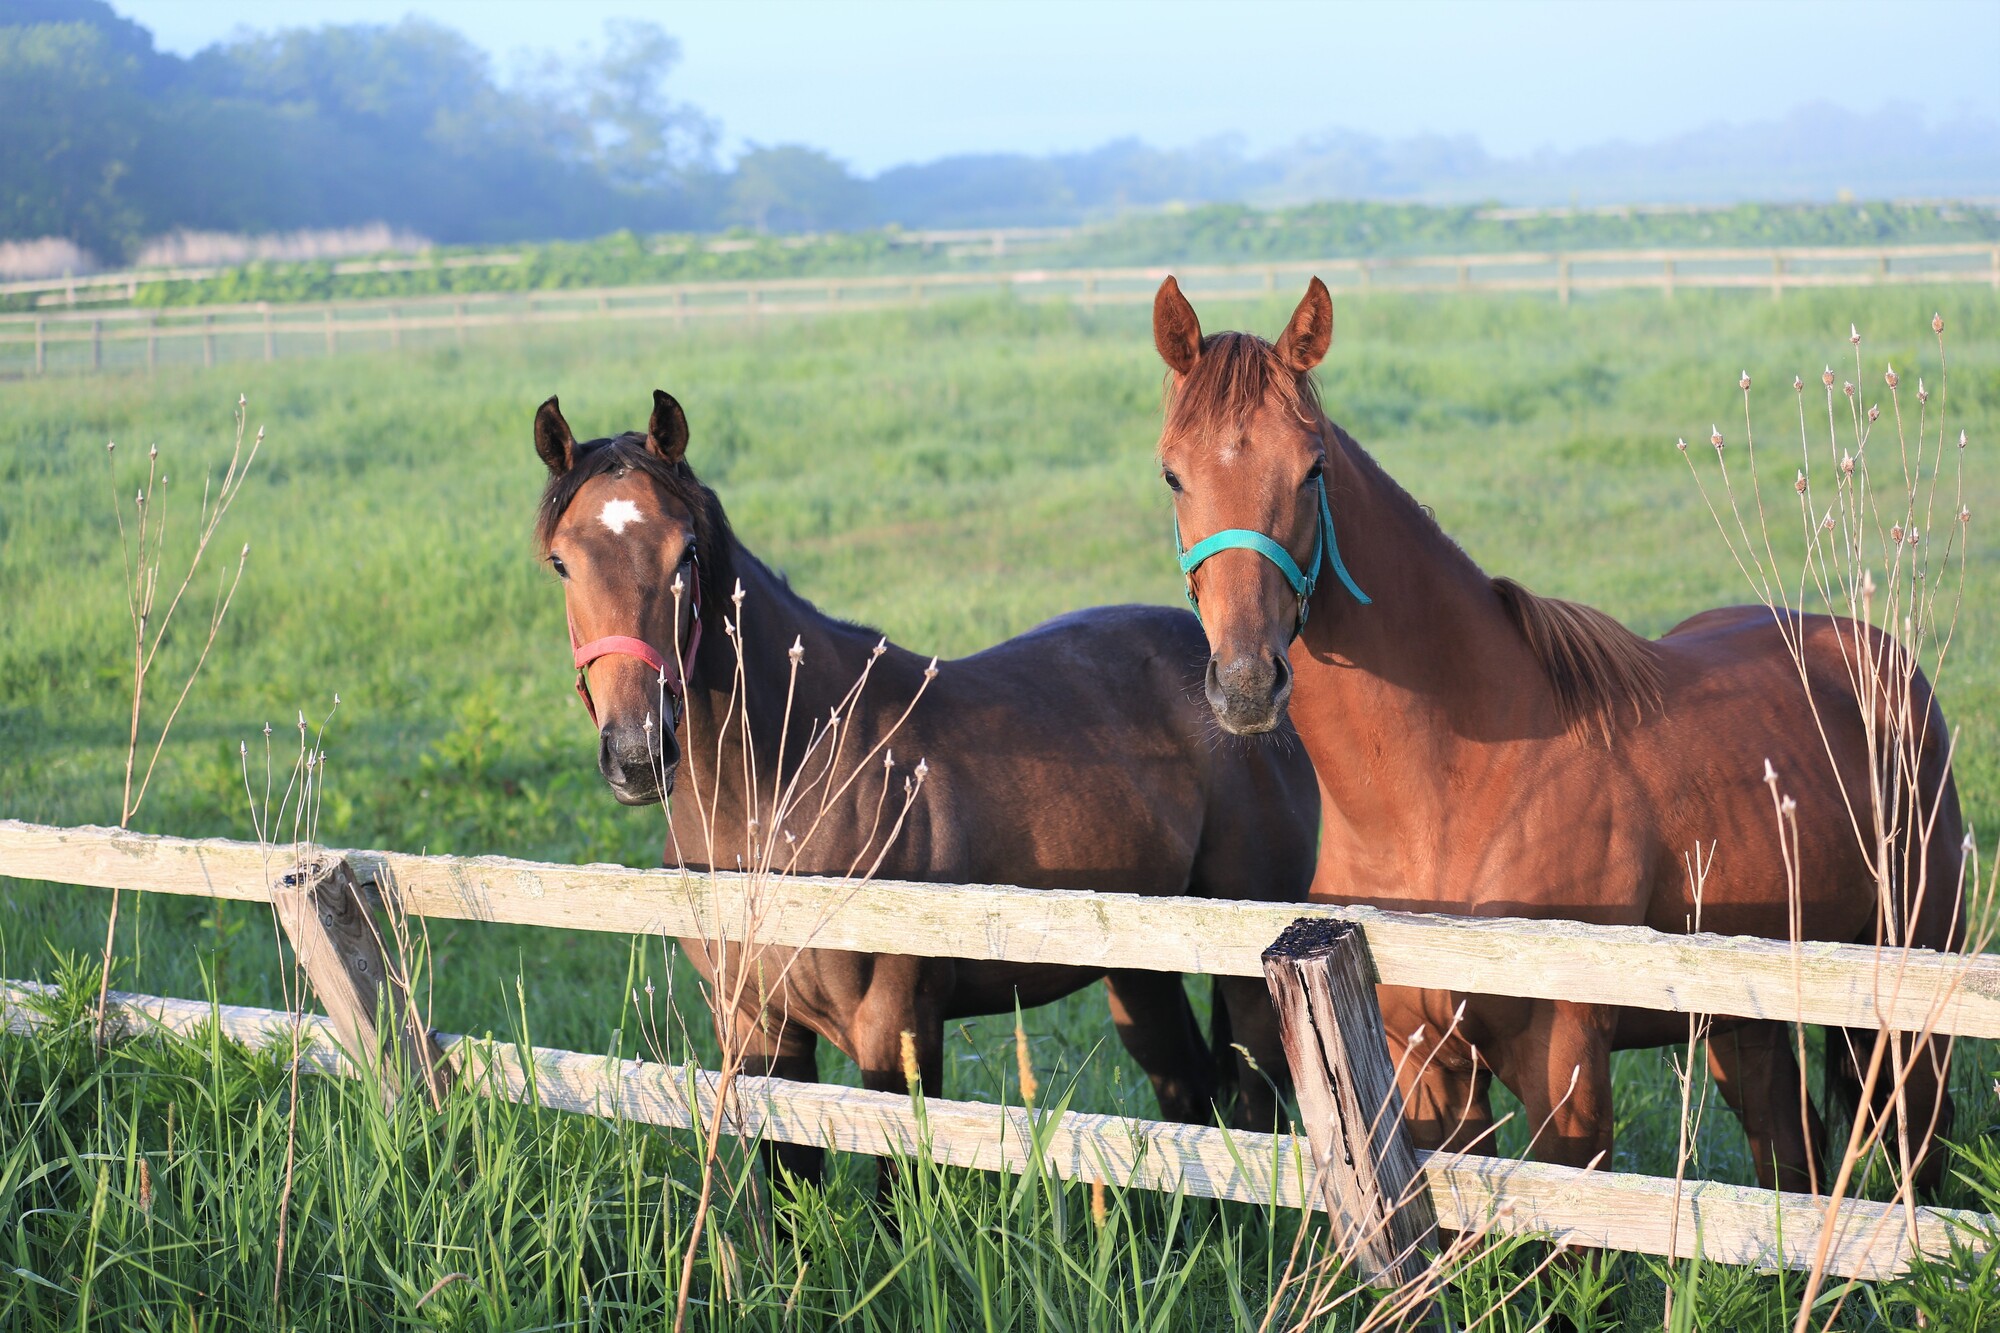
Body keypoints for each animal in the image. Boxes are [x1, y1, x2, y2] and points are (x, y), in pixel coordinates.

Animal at [532, 384, 1320, 1176]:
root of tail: (1248, 685)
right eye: (561, 563)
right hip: (1138, 971)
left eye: (686, 552)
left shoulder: (896, 1028)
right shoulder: (757, 1031)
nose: (637, 751)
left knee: (1256, 1115)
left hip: (1248, 979)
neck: (788, 784)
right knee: (1185, 1098)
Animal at [1152, 274, 1960, 1184]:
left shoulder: (1564, 1063)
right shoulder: (1425, 1063)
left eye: (1312, 466)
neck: (1445, 794)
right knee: (1790, 1148)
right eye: (1174, 474)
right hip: (1743, 1019)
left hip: (1908, 995)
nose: (1246, 681)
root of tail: (1886, 662)